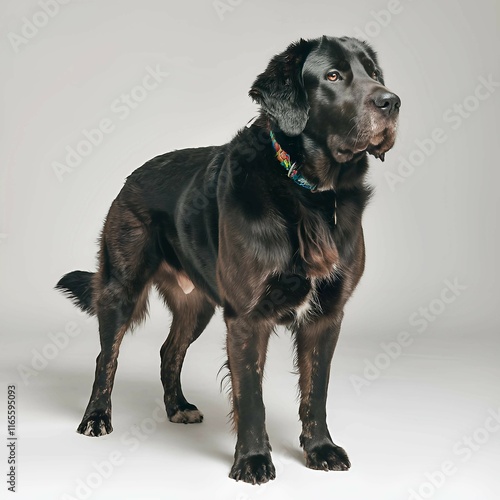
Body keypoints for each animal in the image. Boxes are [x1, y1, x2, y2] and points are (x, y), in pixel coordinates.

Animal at [55, 36, 398, 484]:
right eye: (334, 76)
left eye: (373, 73)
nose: (392, 102)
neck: (310, 194)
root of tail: (132, 176)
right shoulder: (247, 318)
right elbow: (251, 396)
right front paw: (252, 460)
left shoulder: (326, 316)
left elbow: (316, 392)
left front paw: (320, 449)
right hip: (121, 289)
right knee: (105, 357)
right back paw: (96, 417)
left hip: (197, 305)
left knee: (169, 351)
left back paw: (177, 407)